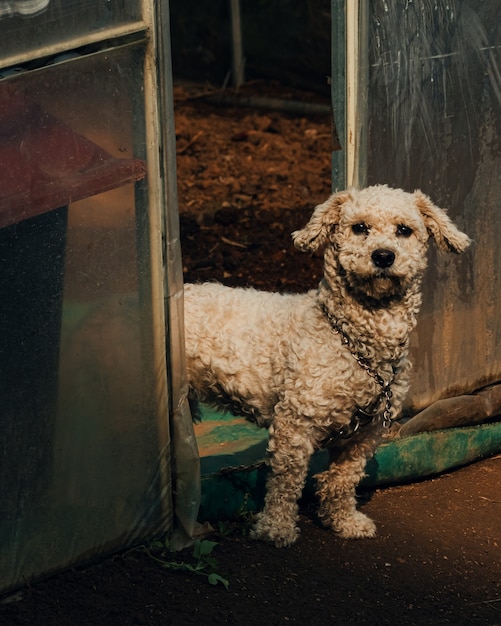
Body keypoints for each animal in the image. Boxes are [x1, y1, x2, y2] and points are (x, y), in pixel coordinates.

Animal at [184, 183, 468, 544]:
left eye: (404, 230)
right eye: (359, 227)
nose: (383, 256)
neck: (352, 341)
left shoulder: (365, 434)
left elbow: (343, 479)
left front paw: (344, 521)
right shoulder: (294, 422)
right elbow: (286, 482)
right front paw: (276, 528)